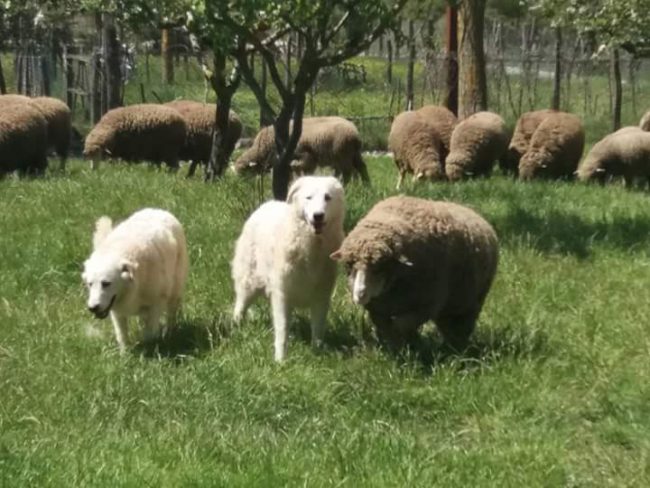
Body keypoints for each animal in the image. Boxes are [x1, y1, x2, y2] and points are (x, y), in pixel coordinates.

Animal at [233, 116, 370, 184]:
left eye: (242, 172)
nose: (239, 186)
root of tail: (355, 133)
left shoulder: (304, 156)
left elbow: (299, 169)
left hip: (343, 154)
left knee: (348, 173)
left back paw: (346, 187)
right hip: (354, 154)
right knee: (362, 168)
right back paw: (367, 186)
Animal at [331, 196, 499, 352]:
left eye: (380, 267)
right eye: (348, 265)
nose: (360, 294)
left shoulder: (424, 306)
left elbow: (400, 327)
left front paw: (407, 345)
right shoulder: (379, 311)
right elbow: (388, 330)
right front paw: (396, 348)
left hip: (473, 301)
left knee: (462, 327)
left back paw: (456, 349)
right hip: (450, 304)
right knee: (448, 325)